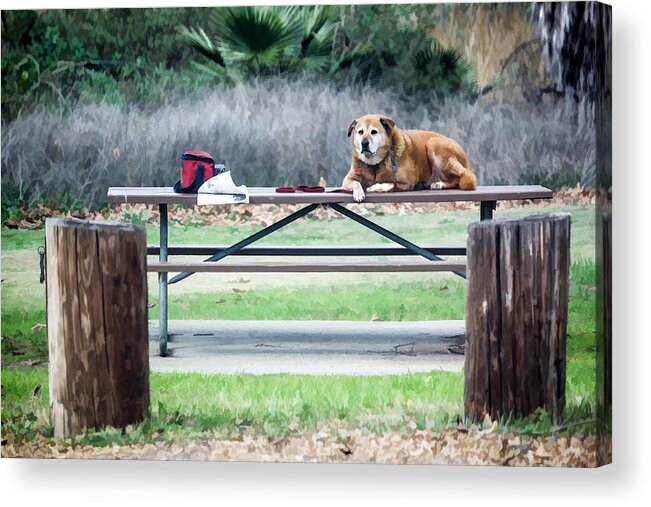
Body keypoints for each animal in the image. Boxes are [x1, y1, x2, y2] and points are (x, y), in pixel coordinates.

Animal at [342, 115, 478, 202]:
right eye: (360, 132)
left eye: (374, 132)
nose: (364, 143)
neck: (375, 164)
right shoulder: (348, 179)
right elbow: (355, 182)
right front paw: (359, 192)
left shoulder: (408, 181)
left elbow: (391, 183)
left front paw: (376, 187)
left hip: (433, 145)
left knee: (458, 179)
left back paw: (439, 184)